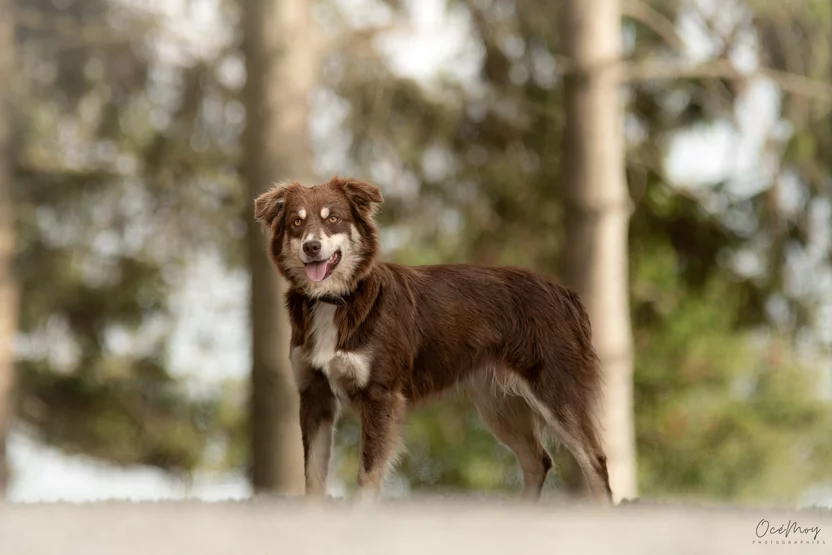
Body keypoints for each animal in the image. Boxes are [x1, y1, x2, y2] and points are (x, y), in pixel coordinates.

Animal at [254, 177, 612, 504]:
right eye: (296, 222)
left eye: (333, 219)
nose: (311, 247)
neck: (334, 299)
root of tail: (566, 294)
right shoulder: (314, 394)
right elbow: (313, 477)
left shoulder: (381, 396)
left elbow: (367, 476)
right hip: (498, 406)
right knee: (538, 462)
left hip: (555, 393)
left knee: (594, 461)